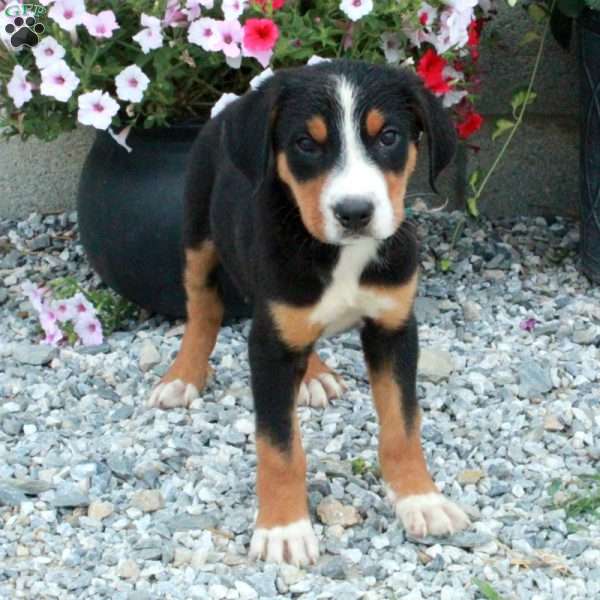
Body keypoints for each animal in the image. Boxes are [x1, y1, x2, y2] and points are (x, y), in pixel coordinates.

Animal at [148, 61, 472, 568]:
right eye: (305, 143)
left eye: (389, 137)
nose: (355, 212)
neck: (342, 256)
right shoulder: (269, 347)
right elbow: (279, 447)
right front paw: (283, 528)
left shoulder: (394, 328)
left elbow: (403, 424)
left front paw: (421, 499)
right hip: (198, 235)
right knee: (203, 310)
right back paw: (182, 376)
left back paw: (314, 374)